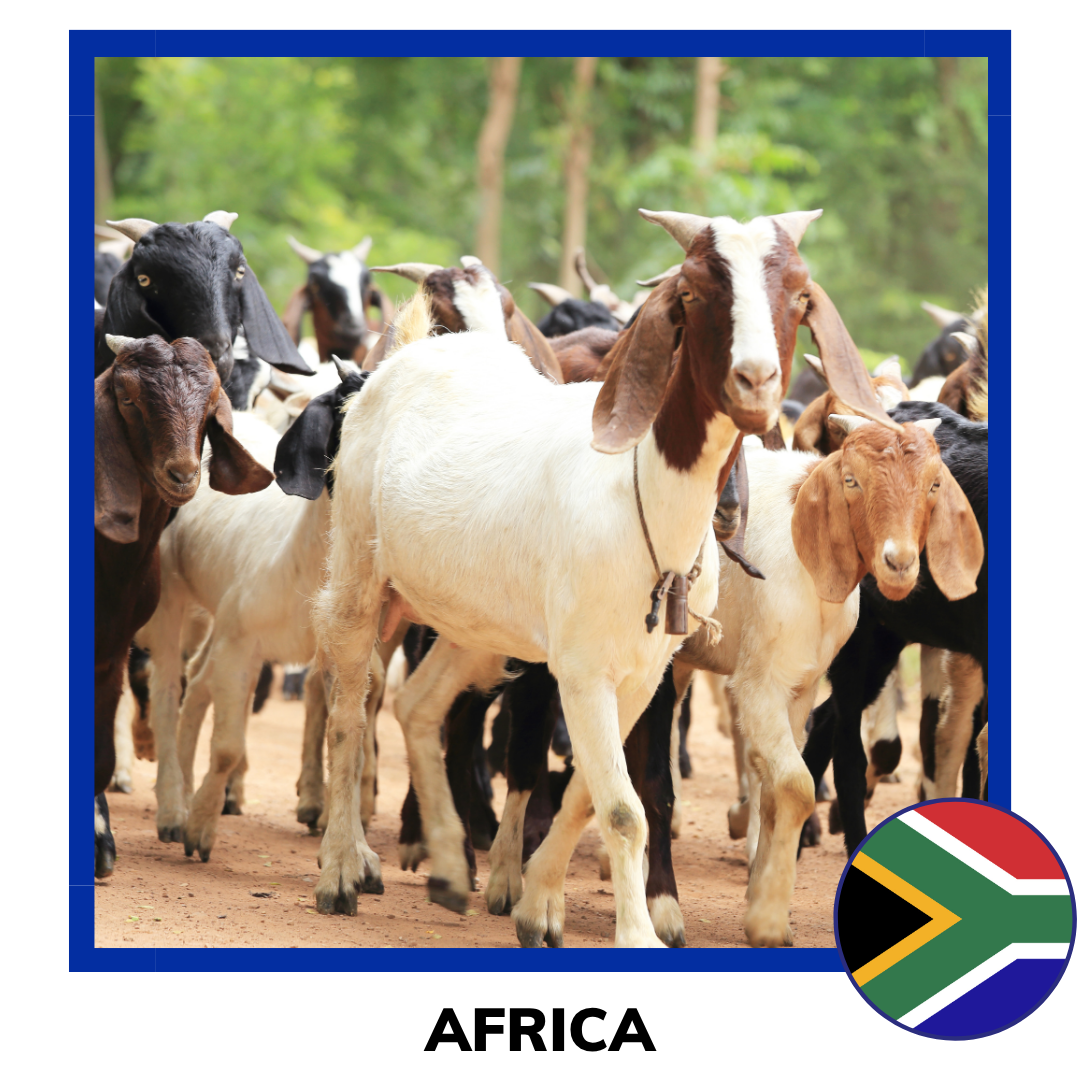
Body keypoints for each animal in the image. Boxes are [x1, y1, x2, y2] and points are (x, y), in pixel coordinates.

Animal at [307, 205, 891, 944]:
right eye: (693, 290)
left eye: (798, 294)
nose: (755, 382)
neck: (641, 497)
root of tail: (413, 354)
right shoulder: (583, 671)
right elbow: (622, 807)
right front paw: (636, 931)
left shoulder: (643, 673)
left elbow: (592, 793)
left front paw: (537, 904)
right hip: (360, 575)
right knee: (350, 714)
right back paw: (341, 870)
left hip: (476, 623)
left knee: (420, 707)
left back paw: (446, 865)